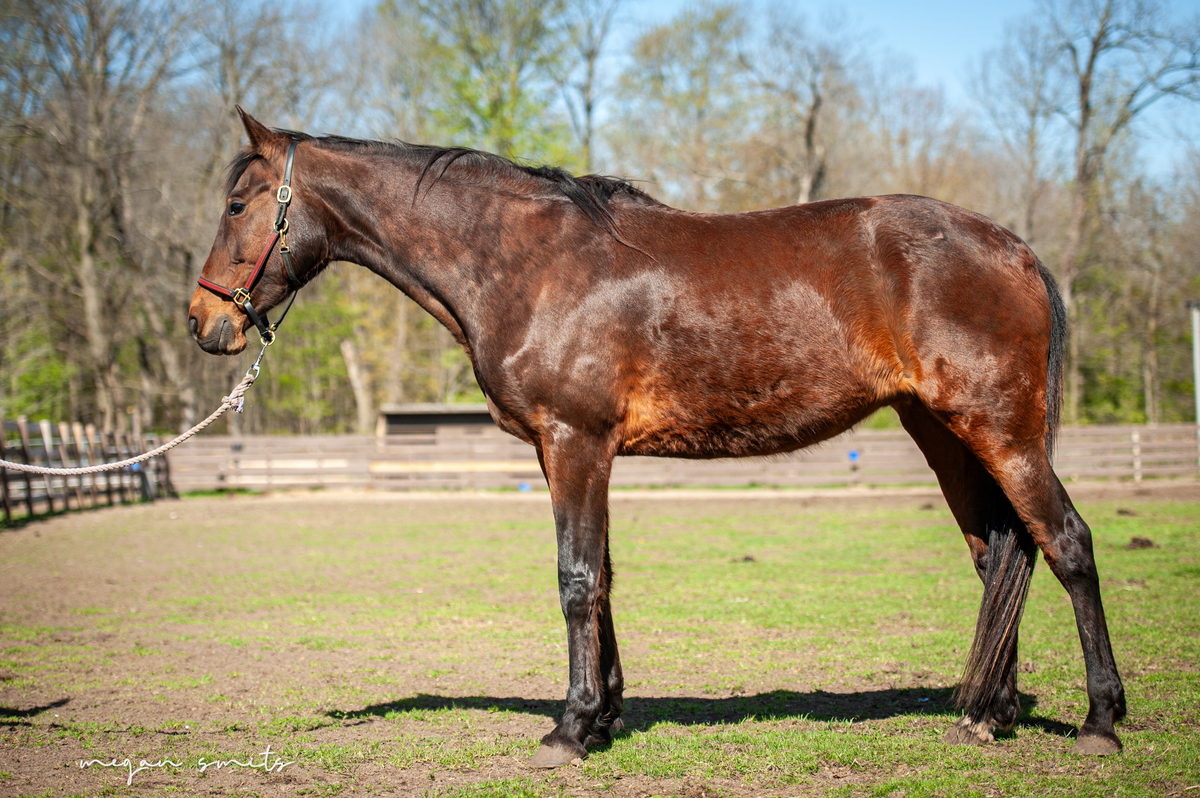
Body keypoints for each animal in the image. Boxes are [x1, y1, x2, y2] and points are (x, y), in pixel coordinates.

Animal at [188, 109, 1126, 767]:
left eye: (237, 204)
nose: (204, 323)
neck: (529, 262)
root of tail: (1012, 247)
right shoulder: (570, 452)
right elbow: (601, 576)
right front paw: (603, 715)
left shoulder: (575, 442)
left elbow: (573, 578)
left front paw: (568, 731)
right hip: (944, 431)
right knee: (1000, 552)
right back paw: (986, 715)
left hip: (999, 430)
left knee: (1067, 542)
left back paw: (1100, 719)